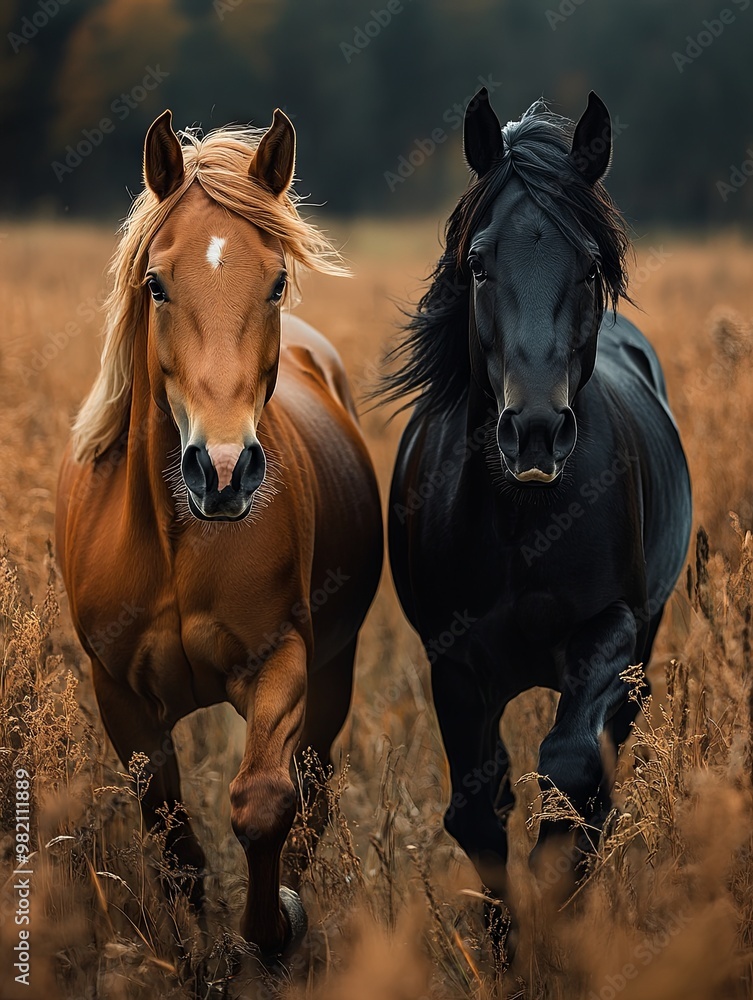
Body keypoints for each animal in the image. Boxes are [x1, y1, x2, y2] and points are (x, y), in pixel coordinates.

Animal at [56, 108, 383, 960]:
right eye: (156, 283)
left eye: (274, 281)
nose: (225, 471)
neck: (175, 540)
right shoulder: (121, 697)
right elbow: (174, 847)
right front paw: (189, 954)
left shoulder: (282, 659)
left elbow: (264, 801)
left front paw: (270, 930)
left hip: (333, 674)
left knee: (312, 792)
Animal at [381, 90, 691, 913]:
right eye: (478, 263)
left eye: (590, 265)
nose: (535, 434)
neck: (521, 526)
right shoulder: (455, 663)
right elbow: (477, 812)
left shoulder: (611, 632)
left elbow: (572, 774)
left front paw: (557, 911)